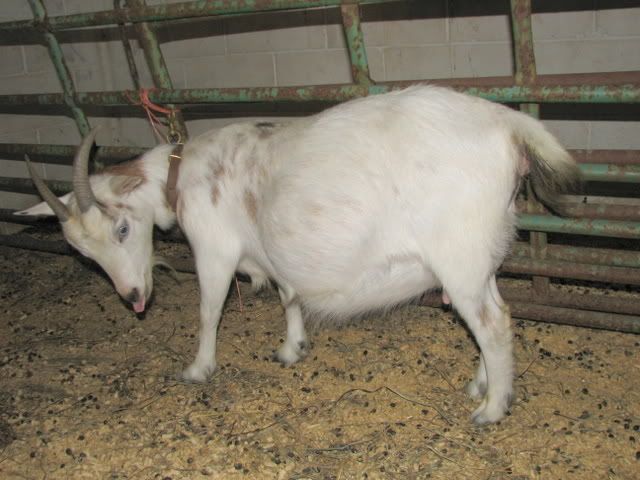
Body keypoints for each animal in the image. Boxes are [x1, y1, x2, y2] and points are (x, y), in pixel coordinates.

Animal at [17, 85, 579, 424]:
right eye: (81, 252)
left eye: (122, 227)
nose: (133, 296)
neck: (181, 174)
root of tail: (509, 127)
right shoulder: (270, 253)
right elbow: (288, 294)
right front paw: (292, 348)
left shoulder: (214, 247)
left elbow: (208, 310)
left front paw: (198, 369)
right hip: (481, 249)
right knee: (493, 311)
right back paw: (481, 384)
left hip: (458, 250)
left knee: (492, 323)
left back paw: (492, 409)